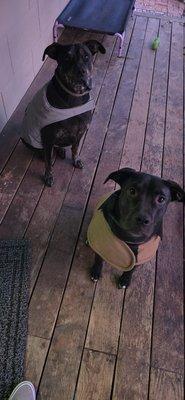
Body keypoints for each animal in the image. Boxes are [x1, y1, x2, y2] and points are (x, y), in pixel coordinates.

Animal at [21, 39, 105, 187]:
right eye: (66, 58)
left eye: (86, 56)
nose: (81, 71)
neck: (74, 99)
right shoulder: (48, 138)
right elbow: (49, 161)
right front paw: (48, 176)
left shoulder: (80, 132)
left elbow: (75, 149)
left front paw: (76, 160)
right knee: (43, 152)